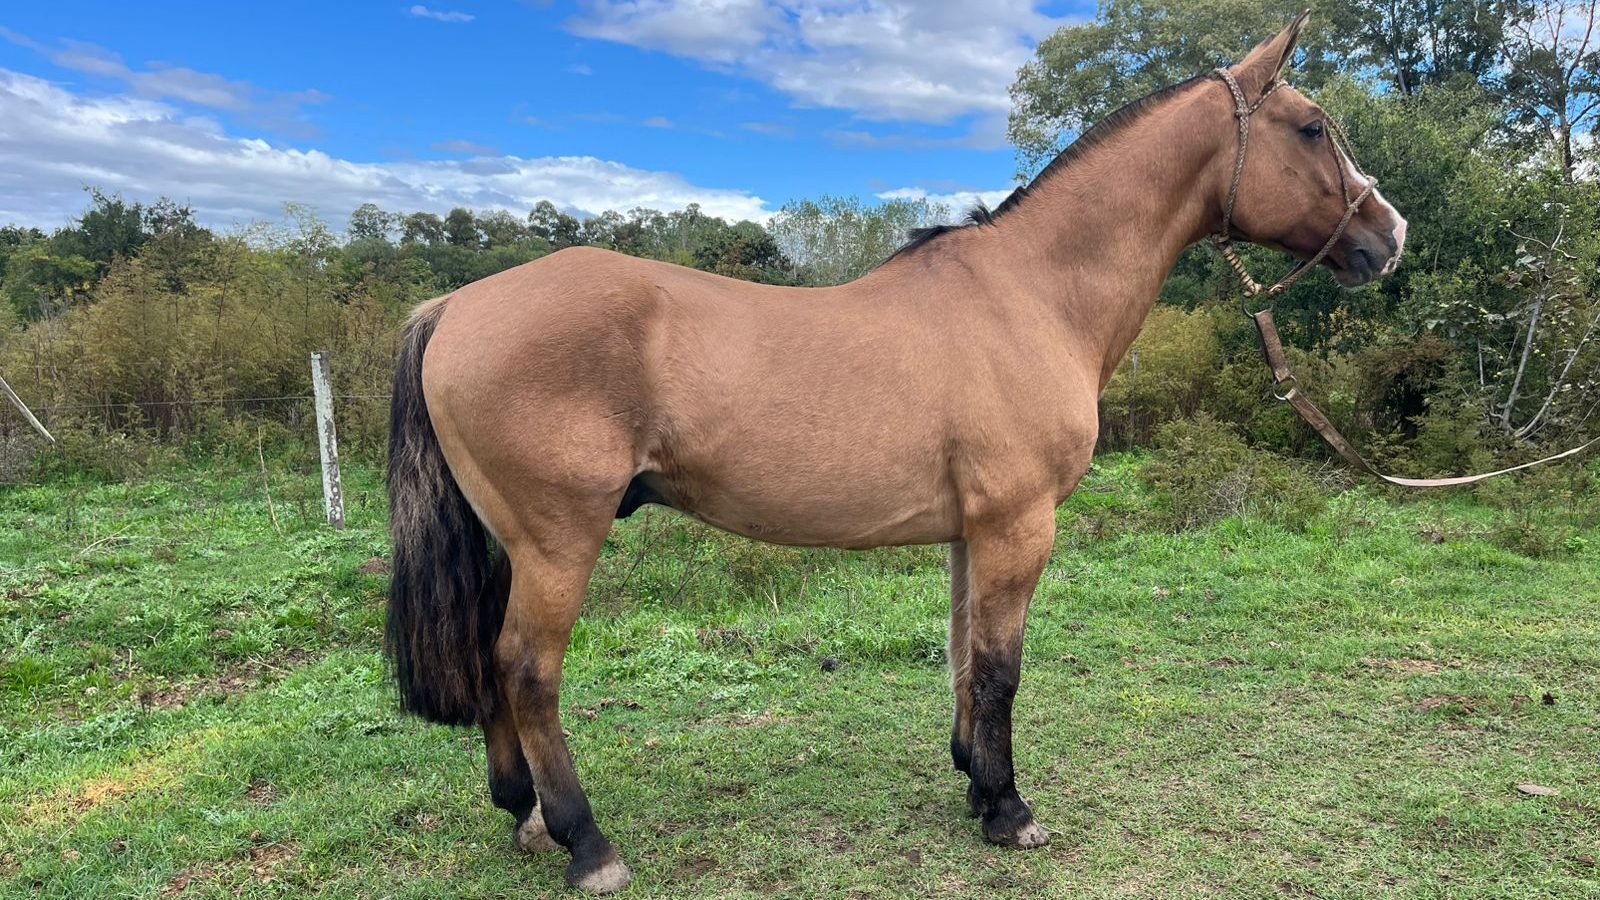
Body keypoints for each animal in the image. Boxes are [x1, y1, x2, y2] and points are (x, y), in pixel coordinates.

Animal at [383, 11, 1407, 893]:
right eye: (1313, 128)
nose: (1388, 236)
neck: (1033, 293)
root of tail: (456, 306)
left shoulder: (973, 532)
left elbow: (962, 654)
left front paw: (974, 782)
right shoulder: (1018, 527)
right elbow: (999, 667)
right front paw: (1009, 810)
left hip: (514, 545)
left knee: (491, 663)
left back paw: (525, 816)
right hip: (559, 542)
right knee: (527, 669)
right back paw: (587, 843)